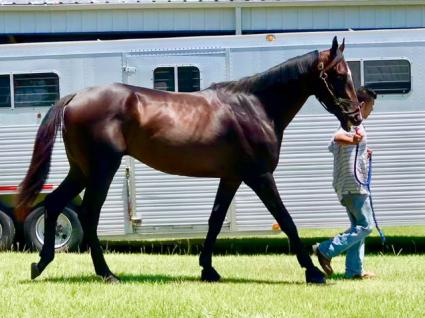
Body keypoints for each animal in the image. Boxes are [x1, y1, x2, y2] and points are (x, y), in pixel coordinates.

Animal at [16, 36, 362, 284]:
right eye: (338, 74)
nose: (355, 117)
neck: (254, 107)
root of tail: (75, 97)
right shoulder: (260, 176)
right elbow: (287, 220)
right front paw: (313, 272)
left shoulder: (232, 177)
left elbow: (215, 220)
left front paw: (208, 269)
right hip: (103, 169)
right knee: (88, 214)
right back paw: (106, 273)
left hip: (82, 170)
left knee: (54, 203)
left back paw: (40, 264)